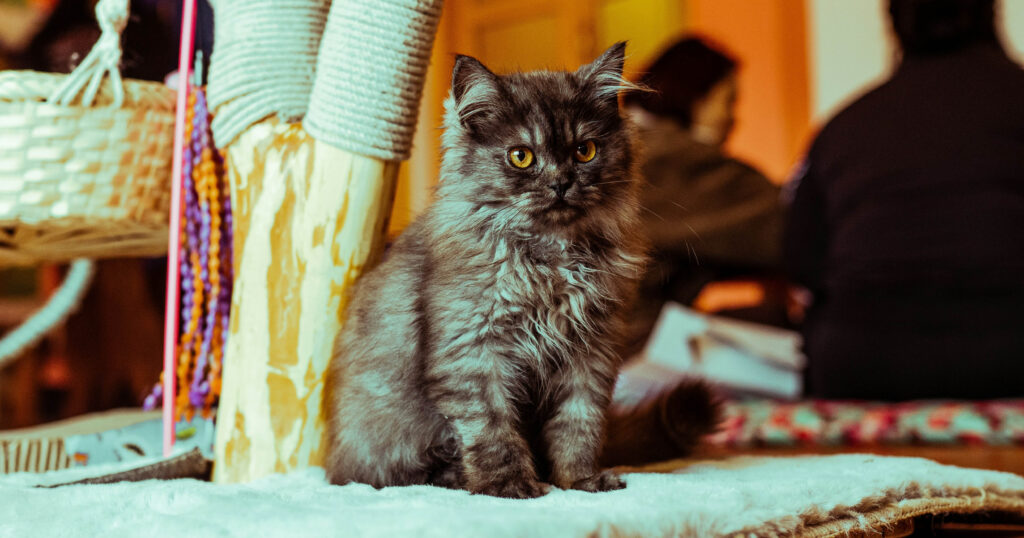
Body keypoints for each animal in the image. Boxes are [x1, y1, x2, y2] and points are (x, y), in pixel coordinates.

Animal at [323, 43, 716, 500]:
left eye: (585, 151)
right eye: (521, 156)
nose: (561, 183)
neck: (552, 260)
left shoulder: (591, 354)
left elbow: (578, 426)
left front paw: (579, 481)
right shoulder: (474, 353)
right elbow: (493, 431)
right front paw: (509, 486)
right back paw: (456, 479)